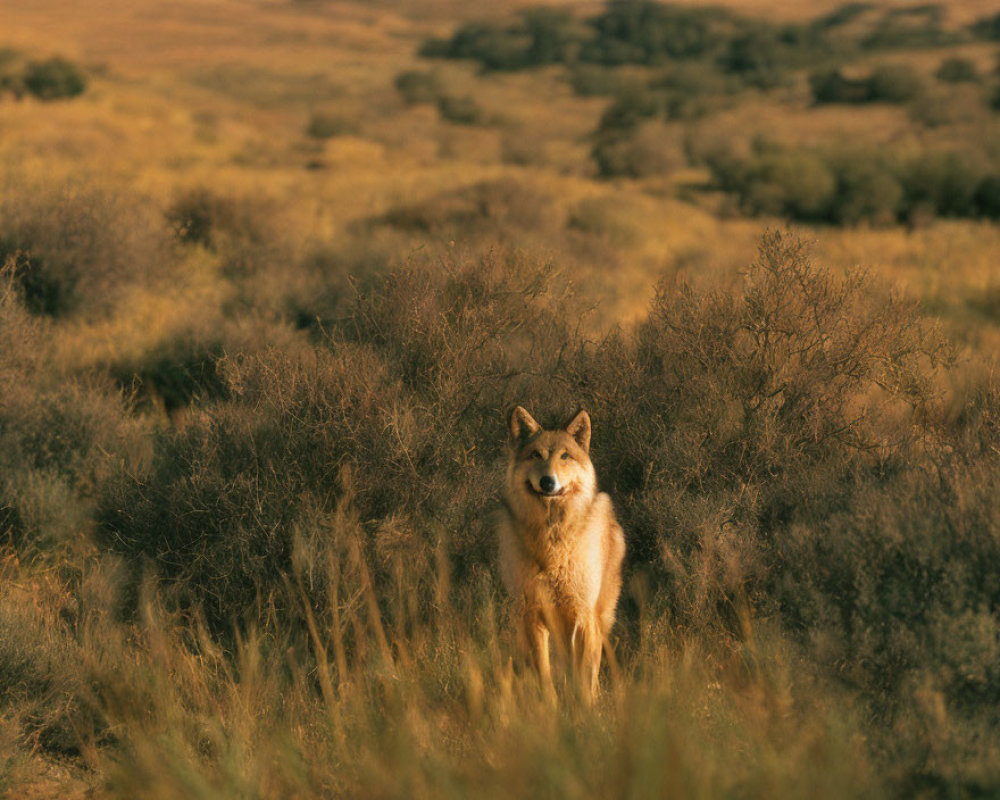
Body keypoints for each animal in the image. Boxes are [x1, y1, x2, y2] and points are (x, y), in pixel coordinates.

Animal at [498, 406, 624, 700]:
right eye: (536, 455)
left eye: (565, 456)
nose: (547, 481)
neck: (552, 547)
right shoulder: (531, 616)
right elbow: (545, 679)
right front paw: (552, 708)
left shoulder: (582, 617)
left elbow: (584, 680)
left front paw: (585, 710)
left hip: (595, 622)